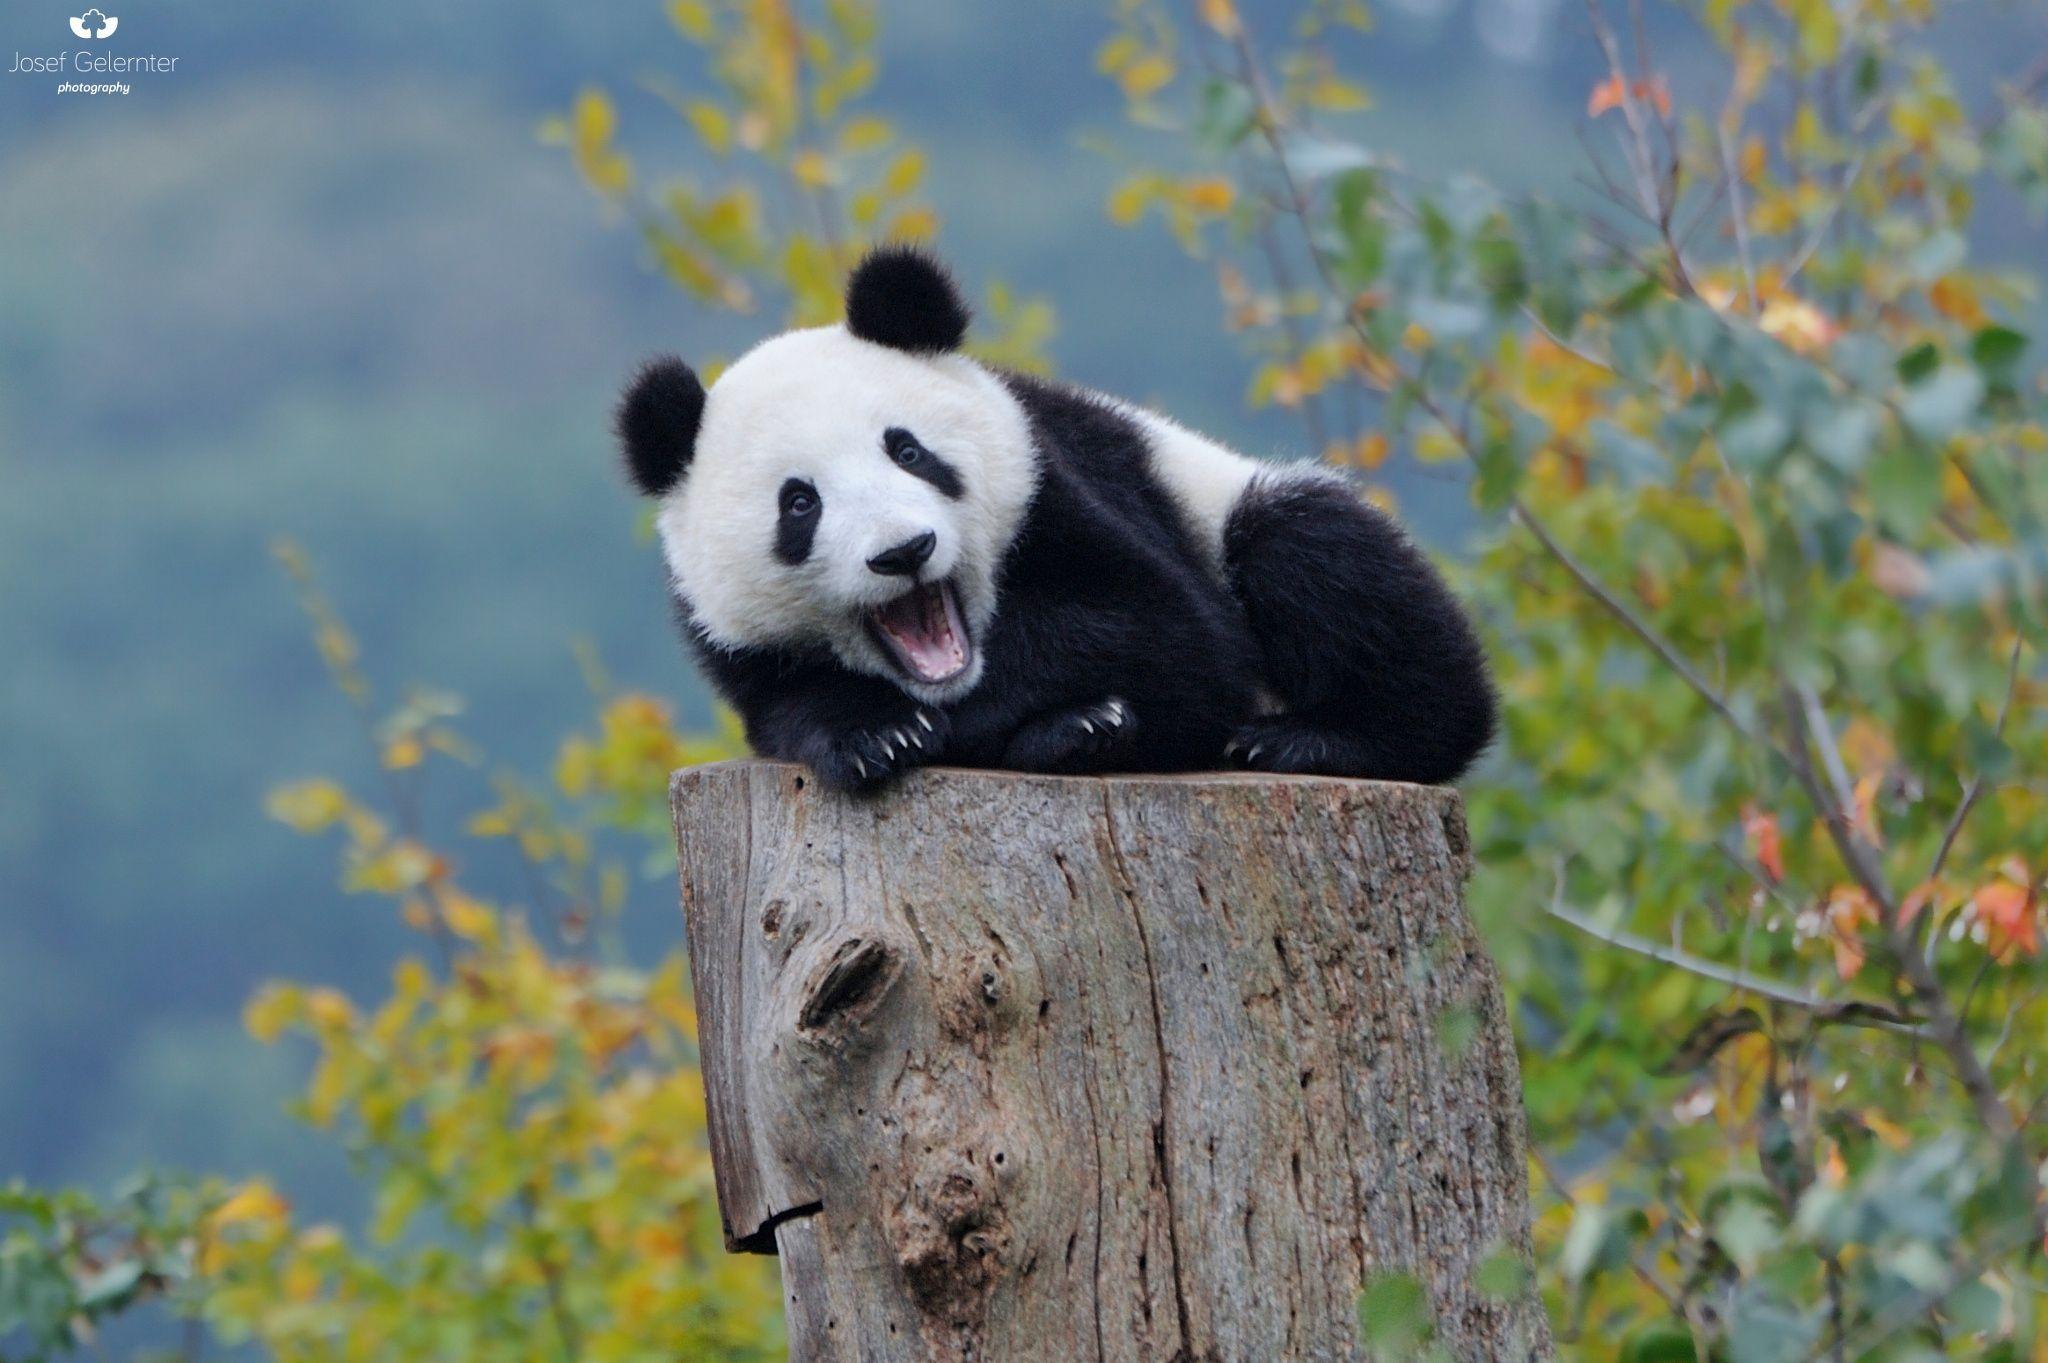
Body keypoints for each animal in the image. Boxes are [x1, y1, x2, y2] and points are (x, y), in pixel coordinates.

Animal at [614, 249, 1499, 789]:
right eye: (800, 502)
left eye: (908, 450)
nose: (904, 551)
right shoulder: (734, 642)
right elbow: (789, 708)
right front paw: (877, 736)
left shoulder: (1064, 485)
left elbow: (1167, 632)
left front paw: (1040, 717)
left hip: (1228, 504)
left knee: (1317, 554)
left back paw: (1308, 738)